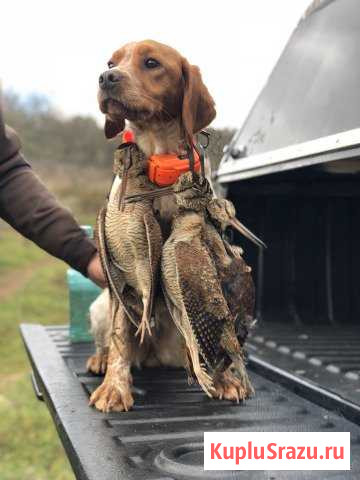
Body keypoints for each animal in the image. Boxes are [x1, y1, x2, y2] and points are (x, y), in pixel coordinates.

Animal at [87, 40, 245, 412]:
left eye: (151, 62)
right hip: (100, 307)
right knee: (109, 340)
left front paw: (224, 379)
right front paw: (114, 387)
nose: (106, 77)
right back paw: (101, 360)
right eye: (111, 62)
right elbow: (119, 339)